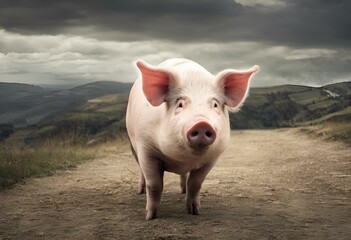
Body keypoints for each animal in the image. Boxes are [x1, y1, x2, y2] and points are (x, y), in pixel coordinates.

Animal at [126, 57, 258, 219]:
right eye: (180, 104)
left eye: (215, 104)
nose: (202, 123)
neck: (184, 159)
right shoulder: (146, 147)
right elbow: (155, 184)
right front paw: (150, 217)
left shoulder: (212, 158)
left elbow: (195, 184)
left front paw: (195, 212)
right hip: (132, 143)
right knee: (141, 170)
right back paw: (140, 191)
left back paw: (183, 190)